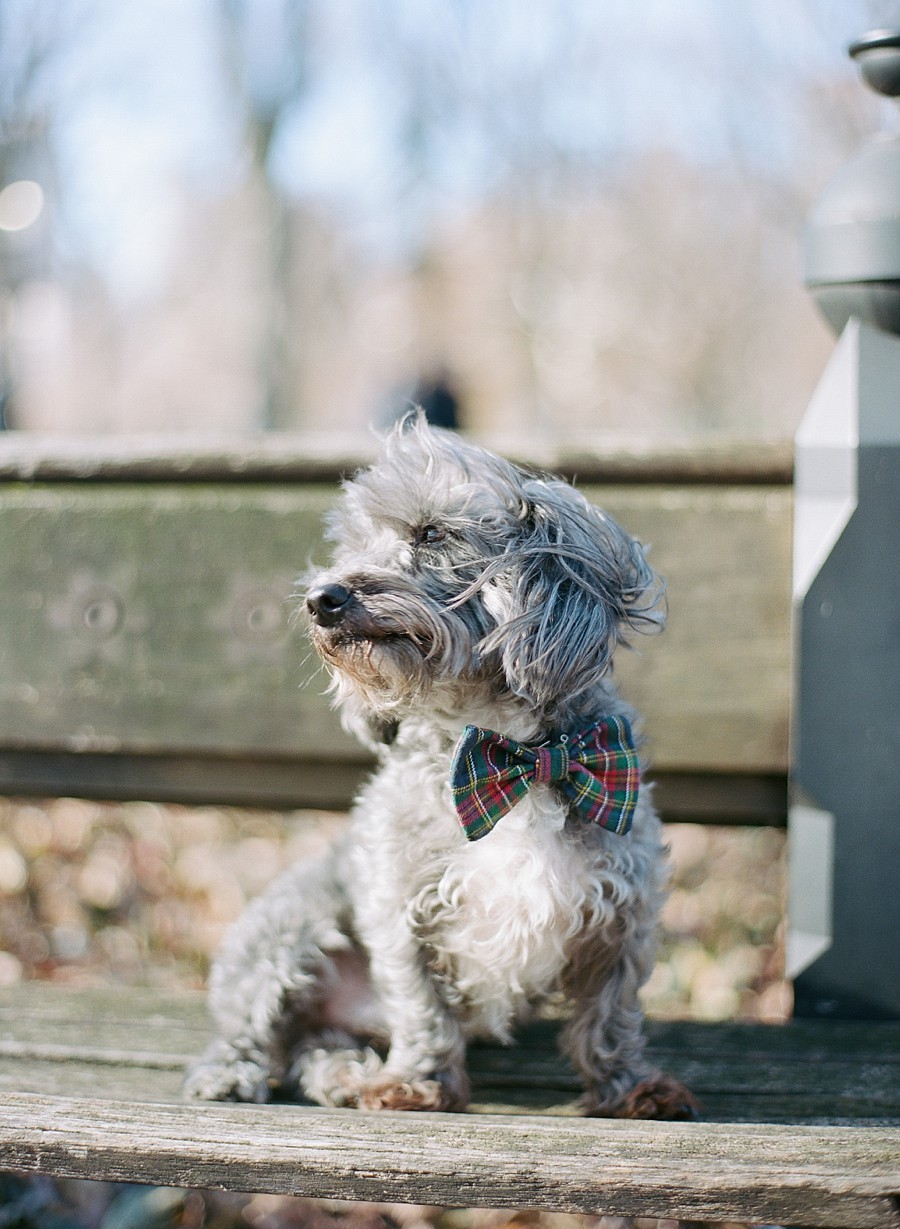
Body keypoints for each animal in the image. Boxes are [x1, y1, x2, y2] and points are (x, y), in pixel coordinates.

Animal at [184, 417, 698, 1120]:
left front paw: (630, 1088)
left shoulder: (625, 908)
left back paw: (342, 1074)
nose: (320, 598)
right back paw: (237, 1074)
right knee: (252, 1030)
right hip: (289, 928)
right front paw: (417, 1083)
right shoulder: (399, 905)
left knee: (314, 1045)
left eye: (430, 533)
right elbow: (420, 1005)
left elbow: (610, 1015)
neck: (511, 756)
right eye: (354, 544)